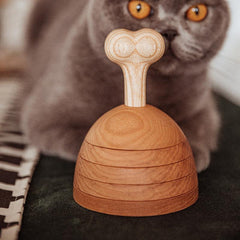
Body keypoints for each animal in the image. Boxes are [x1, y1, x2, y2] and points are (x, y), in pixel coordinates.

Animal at [21, 0, 230, 172]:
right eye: (138, 8)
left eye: (197, 11)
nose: (170, 31)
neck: (150, 84)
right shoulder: (48, 116)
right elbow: (85, 136)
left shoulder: (204, 108)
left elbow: (196, 127)